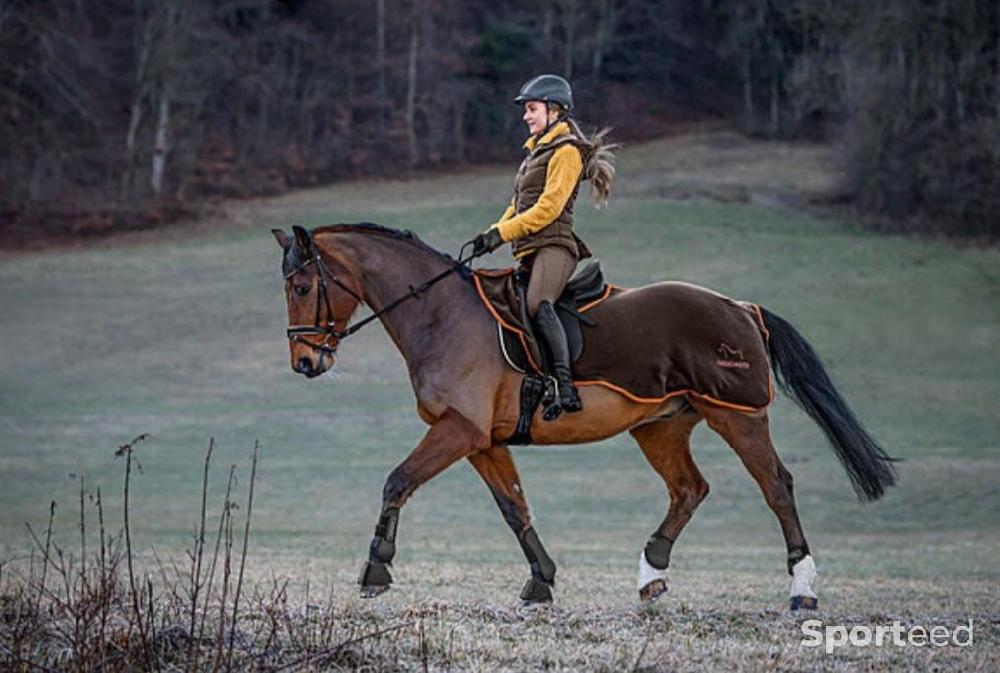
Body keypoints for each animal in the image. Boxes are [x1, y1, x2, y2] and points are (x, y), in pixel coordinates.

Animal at [272, 224, 900, 608]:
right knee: (689, 489)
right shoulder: (481, 440)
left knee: (776, 486)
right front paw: (541, 581)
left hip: (737, 415)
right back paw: (651, 574)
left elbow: (397, 481)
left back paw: (802, 588)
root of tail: (739, 307)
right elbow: (514, 507)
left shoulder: (458, 430)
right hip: (662, 426)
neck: (440, 314)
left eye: (302, 285)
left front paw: (376, 571)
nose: (305, 362)